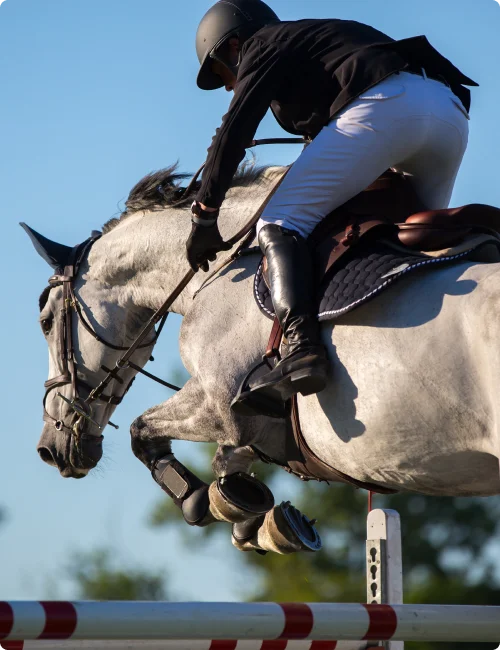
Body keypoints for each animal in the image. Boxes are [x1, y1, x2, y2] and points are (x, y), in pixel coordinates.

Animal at [25, 163, 500, 555]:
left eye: (46, 322)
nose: (49, 449)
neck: (223, 266)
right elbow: (218, 457)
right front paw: (253, 515)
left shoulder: (222, 404)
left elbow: (144, 432)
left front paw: (206, 502)